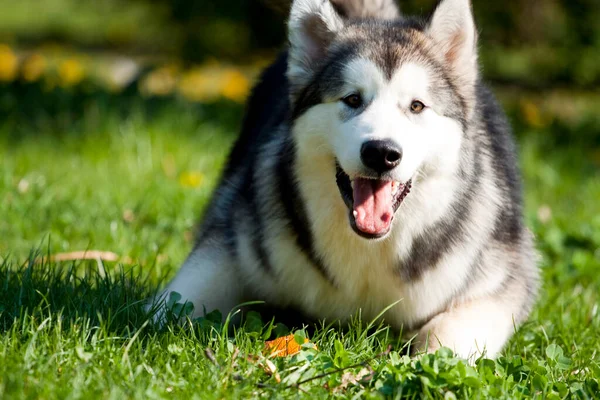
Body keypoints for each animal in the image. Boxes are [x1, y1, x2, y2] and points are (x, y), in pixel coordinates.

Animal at [157, 0, 540, 360]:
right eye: (353, 99)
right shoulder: (235, 239)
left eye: (416, 106)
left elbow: (448, 335)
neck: (370, 247)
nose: (381, 153)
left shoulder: (501, 280)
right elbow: (174, 303)